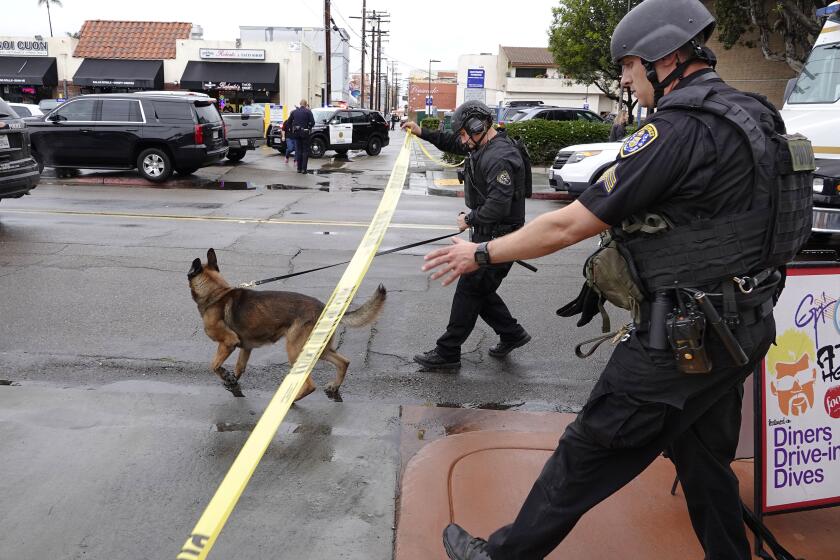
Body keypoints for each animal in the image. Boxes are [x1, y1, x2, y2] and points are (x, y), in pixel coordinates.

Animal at [188, 248, 388, 398]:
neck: (216, 293)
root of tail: (324, 308)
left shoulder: (228, 342)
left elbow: (214, 365)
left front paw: (224, 375)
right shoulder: (246, 347)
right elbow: (239, 367)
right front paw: (232, 381)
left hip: (295, 350)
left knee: (310, 384)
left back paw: (291, 401)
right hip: (319, 349)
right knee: (344, 362)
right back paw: (334, 387)